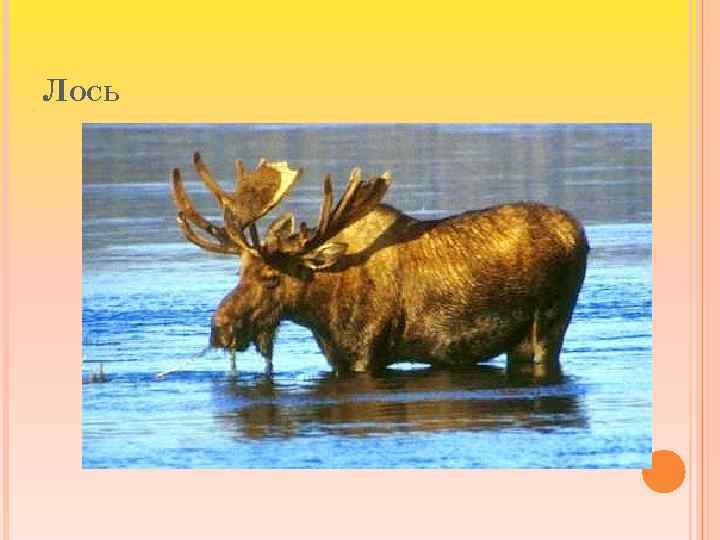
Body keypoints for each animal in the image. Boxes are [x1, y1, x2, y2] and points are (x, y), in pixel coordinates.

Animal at [171, 152, 588, 379]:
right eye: (239, 271)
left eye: (271, 277)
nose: (220, 328)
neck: (319, 310)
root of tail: (579, 234)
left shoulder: (366, 352)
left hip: (550, 322)